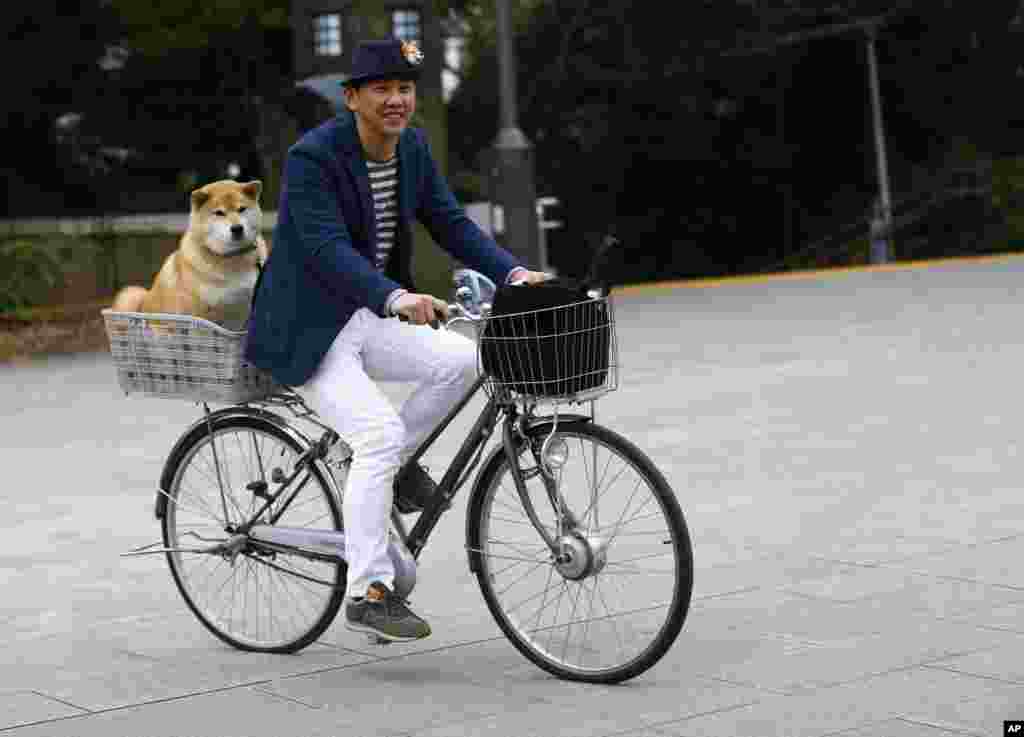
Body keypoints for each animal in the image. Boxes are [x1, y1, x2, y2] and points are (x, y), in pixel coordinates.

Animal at [111, 180, 268, 329]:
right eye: (219, 213)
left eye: (242, 209)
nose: (237, 228)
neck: (231, 257)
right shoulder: (198, 317)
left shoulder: (241, 314)